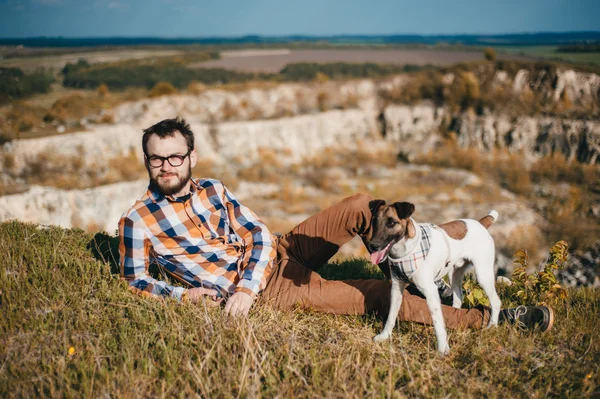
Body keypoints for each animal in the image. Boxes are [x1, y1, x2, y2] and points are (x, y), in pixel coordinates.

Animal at [366, 202, 502, 354]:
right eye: (374, 221)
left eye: (391, 222)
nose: (373, 245)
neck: (406, 250)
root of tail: (480, 223)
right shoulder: (396, 289)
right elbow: (391, 316)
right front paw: (384, 335)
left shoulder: (431, 291)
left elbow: (438, 324)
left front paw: (443, 348)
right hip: (454, 274)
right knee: (458, 298)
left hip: (483, 275)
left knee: (496, 302)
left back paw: (492, 326)